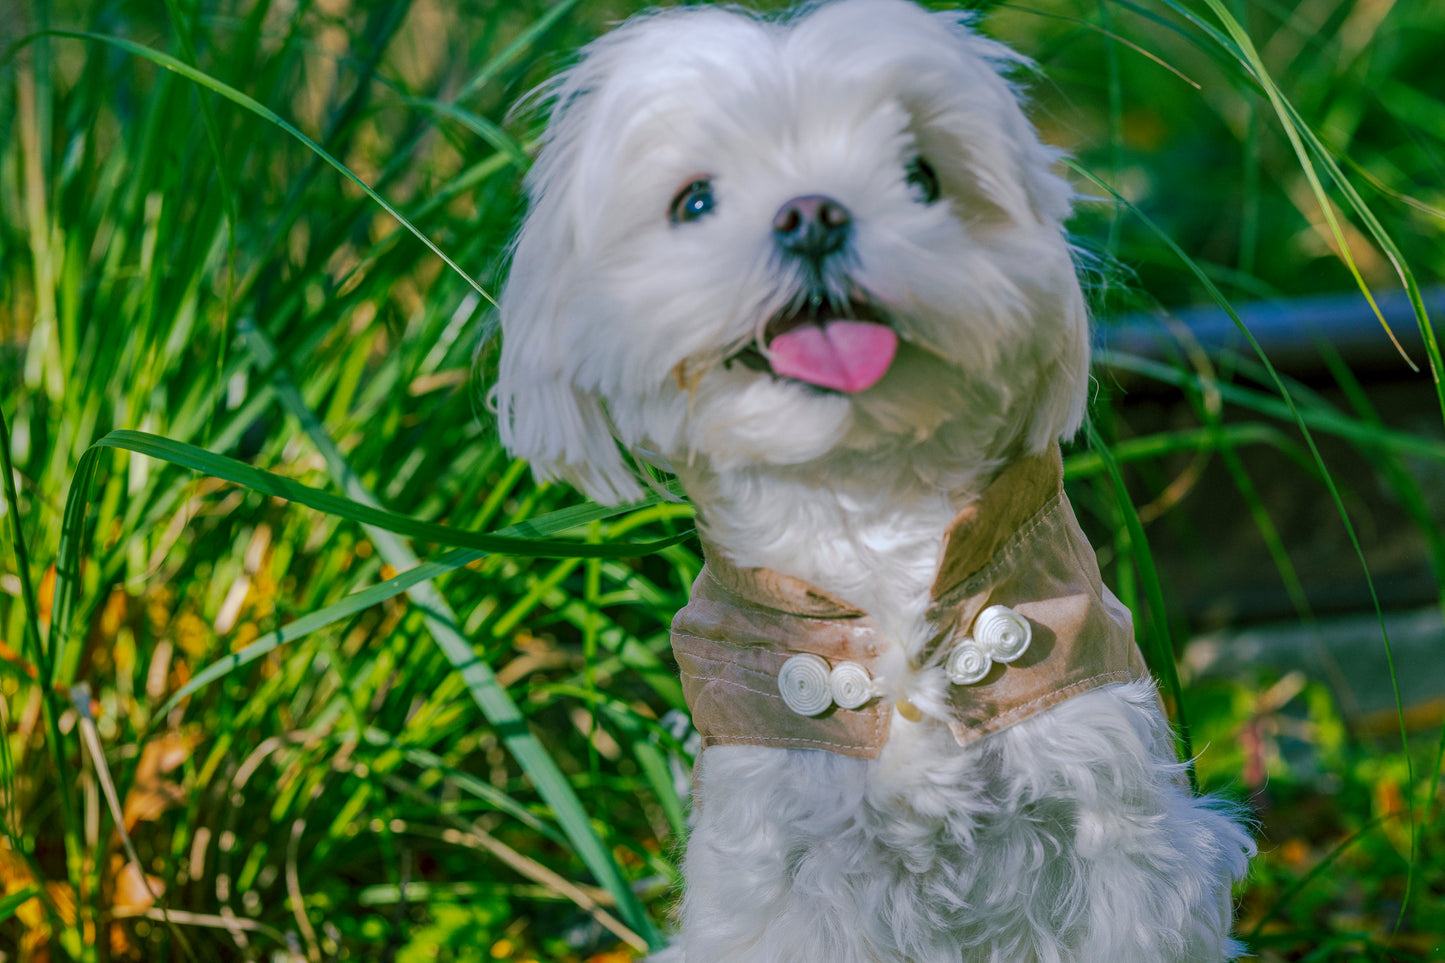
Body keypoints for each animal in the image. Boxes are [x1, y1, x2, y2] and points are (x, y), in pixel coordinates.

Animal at [491, 1, 1248, 960]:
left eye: (919, 176)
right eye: (694, 200)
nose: (812, 214)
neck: (870, 519)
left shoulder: (1120, 839)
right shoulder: (784, 878)